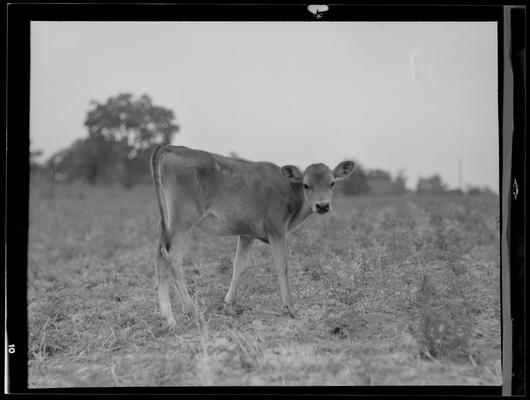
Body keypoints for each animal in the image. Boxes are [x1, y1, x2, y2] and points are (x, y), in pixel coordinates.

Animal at [151, 144, 352, 328]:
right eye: (306, 185)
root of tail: (174, 148)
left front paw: (228, 304)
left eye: (332, 183)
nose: (322, 205)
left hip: (168, 224)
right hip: (182, 221)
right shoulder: (277, 228)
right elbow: (282, 265)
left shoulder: (247, 233)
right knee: (167, 259)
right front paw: (291, 308)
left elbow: (239, 265)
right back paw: (174, 316)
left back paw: (185, 312)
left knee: (169, 259)